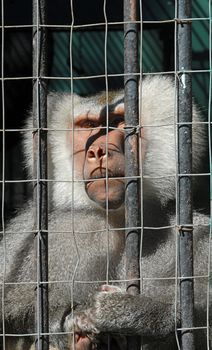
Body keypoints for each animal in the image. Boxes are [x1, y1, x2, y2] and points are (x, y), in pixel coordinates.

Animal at [0, 74, 210, 350]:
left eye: (119, 122)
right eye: (89, 125)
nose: (98, 151)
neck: (119, 219)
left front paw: (128, 312)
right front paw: (64, 324)